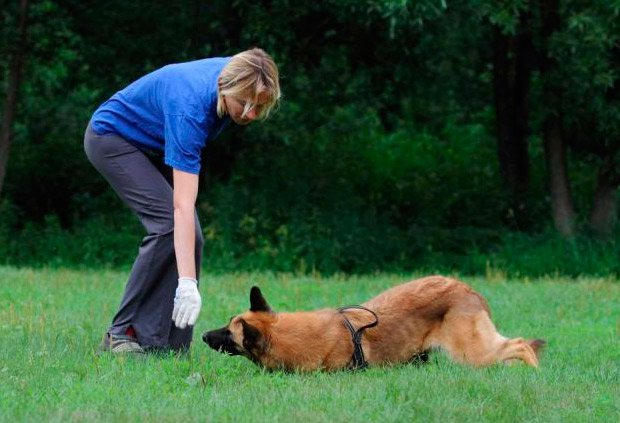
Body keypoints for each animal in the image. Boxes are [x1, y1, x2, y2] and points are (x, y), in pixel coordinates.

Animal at [203, 274, 544, 372]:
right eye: (227, 323)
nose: (204, 335)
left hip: (470, 352)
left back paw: (535, 372)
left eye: (228, 333)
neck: (286, 333)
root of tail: (466, 288)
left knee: (520, 345)